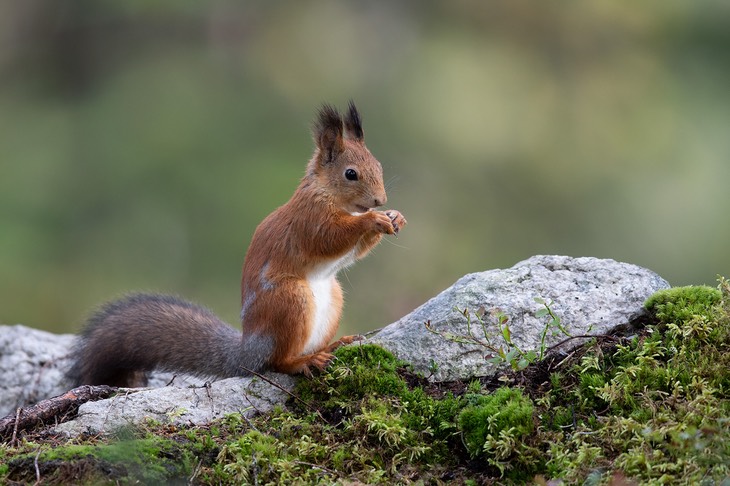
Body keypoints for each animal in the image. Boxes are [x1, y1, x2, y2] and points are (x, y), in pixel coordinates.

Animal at [67, 101, 404, 388]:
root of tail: (248, 352)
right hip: (290, 300)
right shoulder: (309, 220)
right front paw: (373, 219)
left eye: (379, 166)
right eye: (351, 174)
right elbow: (329, 238)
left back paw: (336, 344)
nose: (380, 200)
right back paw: (304, 362)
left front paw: (394, 217)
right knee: (277, 362)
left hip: (332, 299)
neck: (327, 192)